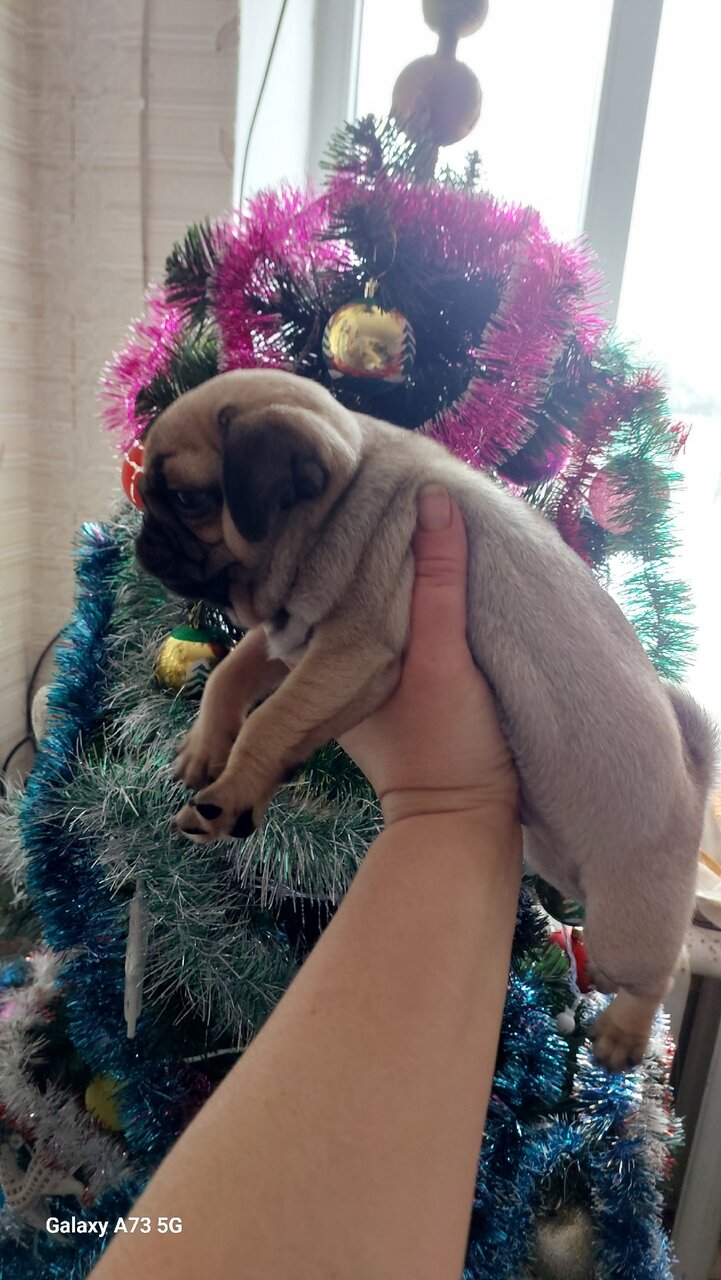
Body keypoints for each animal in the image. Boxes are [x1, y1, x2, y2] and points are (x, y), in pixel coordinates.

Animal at [136, 367, 716, 1070]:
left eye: (190, 499)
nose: (142, 541)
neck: (343, 501)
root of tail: (695, 780)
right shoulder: (293, 637)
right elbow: (230, 677)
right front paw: (204, 747)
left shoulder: (353, 651)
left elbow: (272, 719)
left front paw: (231, 795)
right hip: (559, 860)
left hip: (625, 918)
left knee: (664, 964)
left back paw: (622, 1034)